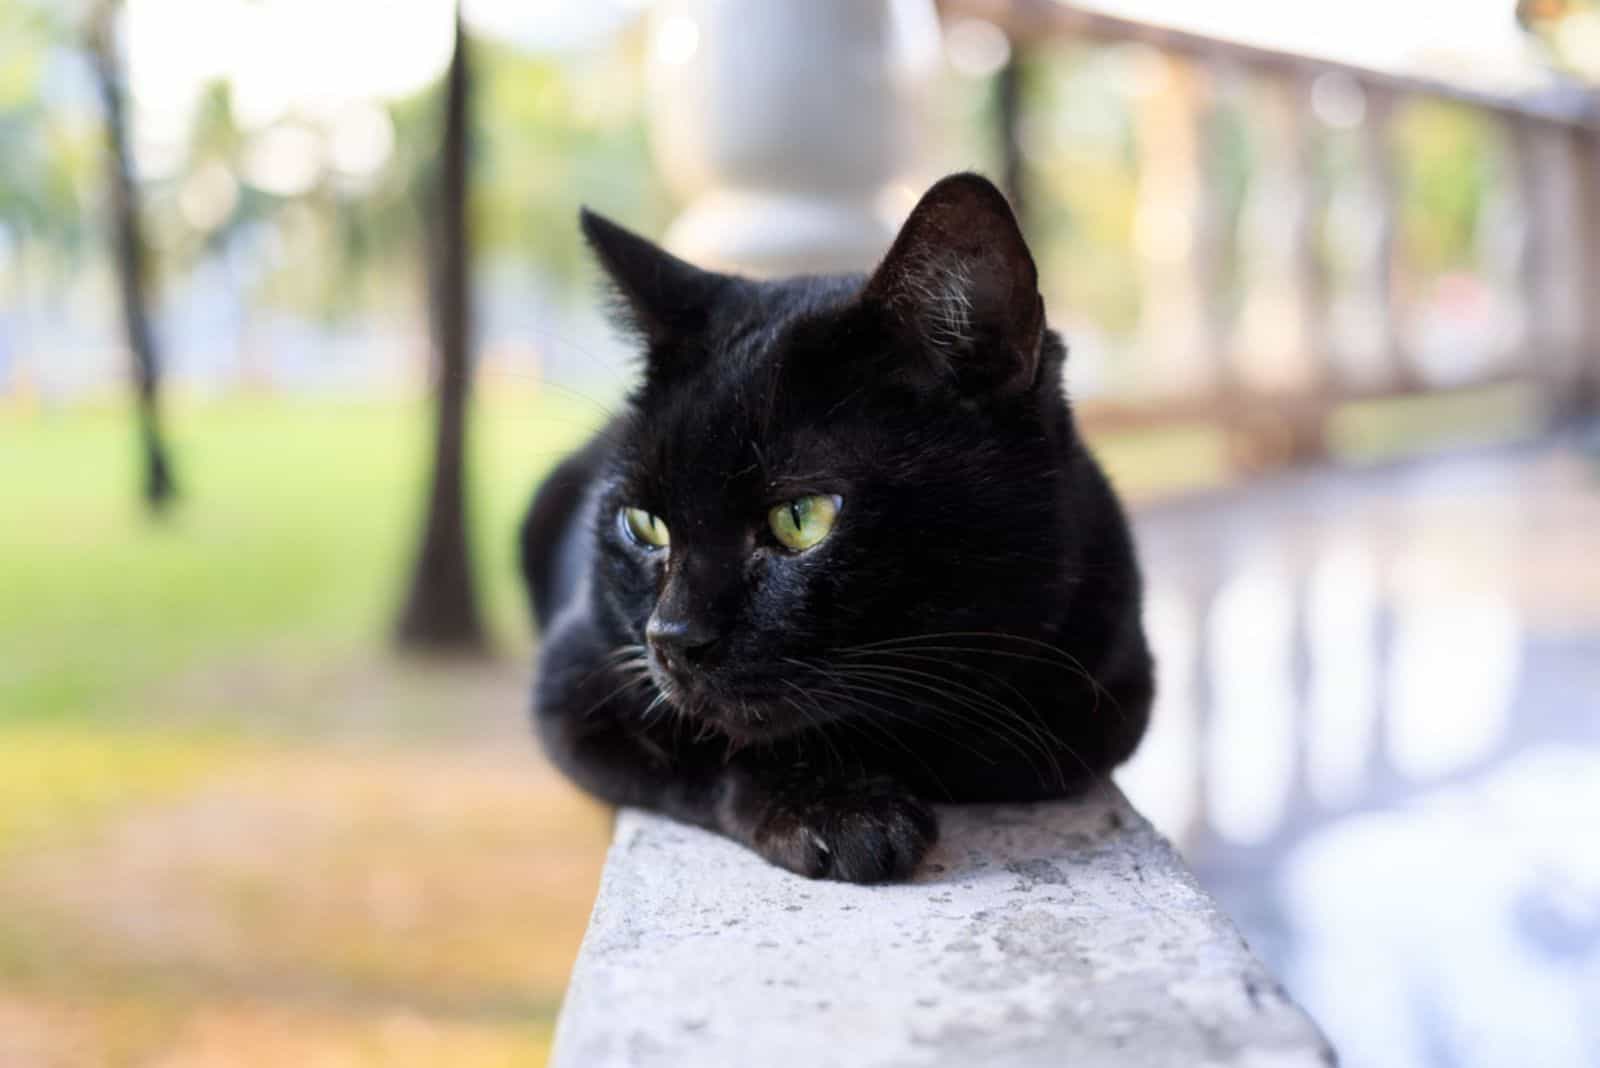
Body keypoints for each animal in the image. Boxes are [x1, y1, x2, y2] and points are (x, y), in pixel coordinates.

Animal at [521, 173, 1152, 882]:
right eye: (644, 525)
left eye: (801, 518)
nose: (672, 637)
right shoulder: (577, 682)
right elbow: (714, 741)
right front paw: (843, 814)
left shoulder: (1101, 700)